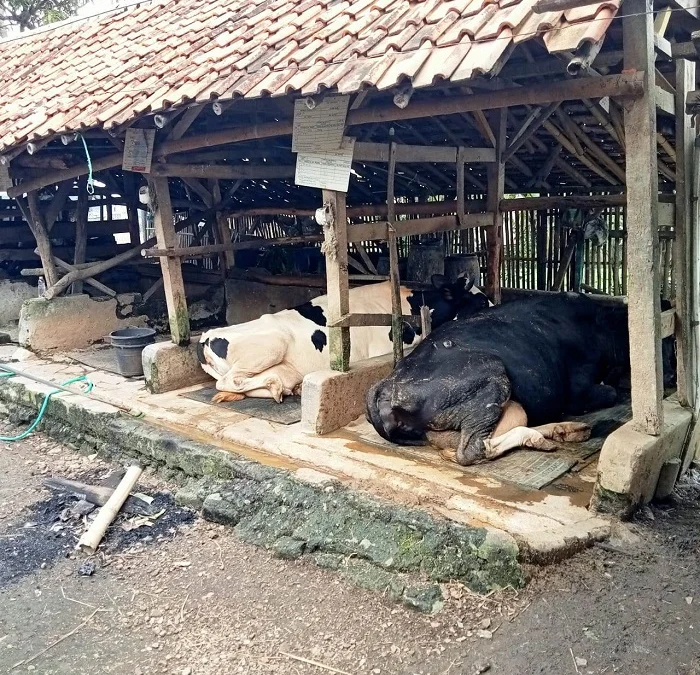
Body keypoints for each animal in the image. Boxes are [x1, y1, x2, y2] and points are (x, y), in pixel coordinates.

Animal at [197, 276, 492, 404]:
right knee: (229, 381)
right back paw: (277, 387)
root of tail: (205, 337)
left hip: (285, 368)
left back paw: (286, 389)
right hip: (270, 346)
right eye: (479, 300)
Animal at [366, 294, 636, 464]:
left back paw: (566, 430)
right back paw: (541, 436)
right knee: (473, 450)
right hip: (491, 377)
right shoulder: (578, 391)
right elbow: (610, 392)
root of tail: (384, 386)